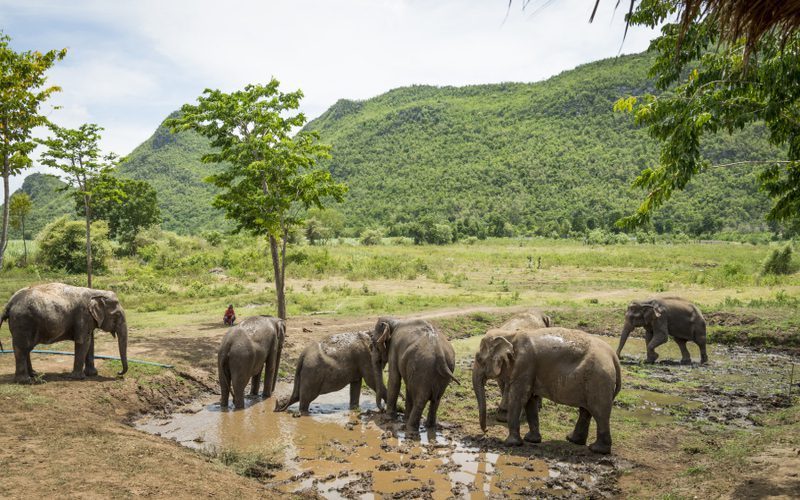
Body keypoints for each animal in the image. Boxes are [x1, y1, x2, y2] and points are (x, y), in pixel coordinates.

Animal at [0, 283, 128, 383]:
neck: (96, 292)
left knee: (26, 348)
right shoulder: (83, 315)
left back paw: (34, 374)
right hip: (23, 321)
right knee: (22, 347)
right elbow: (83, 342)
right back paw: (26, 381)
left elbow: (90, 342)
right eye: (117, 315)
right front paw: (78, 378)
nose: (119, 373)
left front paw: (92, 374)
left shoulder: (89, 319)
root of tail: (9, 304)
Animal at [472, 327, 621, 454]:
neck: (510, 334)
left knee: (599, 412)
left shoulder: (524, 365)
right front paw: (531, 440)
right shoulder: (528, 370)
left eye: (479, 358)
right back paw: (573, 440)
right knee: (586, 410)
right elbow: (530, 401)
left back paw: (597, 450)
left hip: (598, 379)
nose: (486, 431)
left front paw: (510, 443)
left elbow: (519, 398)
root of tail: (613, 356)